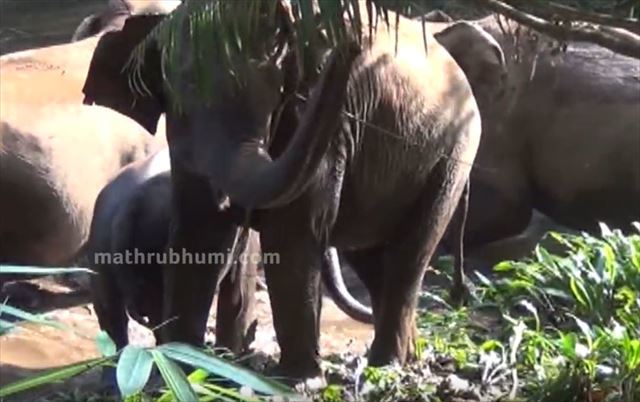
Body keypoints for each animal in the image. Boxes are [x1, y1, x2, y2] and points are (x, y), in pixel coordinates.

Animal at [81, 3, 500, 380]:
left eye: (272, 99)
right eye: (178, 105)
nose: (349, 43)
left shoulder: (323, 120)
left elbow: (292, 229)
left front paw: (295, 380)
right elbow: (198, 232)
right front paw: (182, 368)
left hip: (454, 153)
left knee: (409, 253)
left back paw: (385, 365)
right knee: (371, 257)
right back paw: (406, 357)